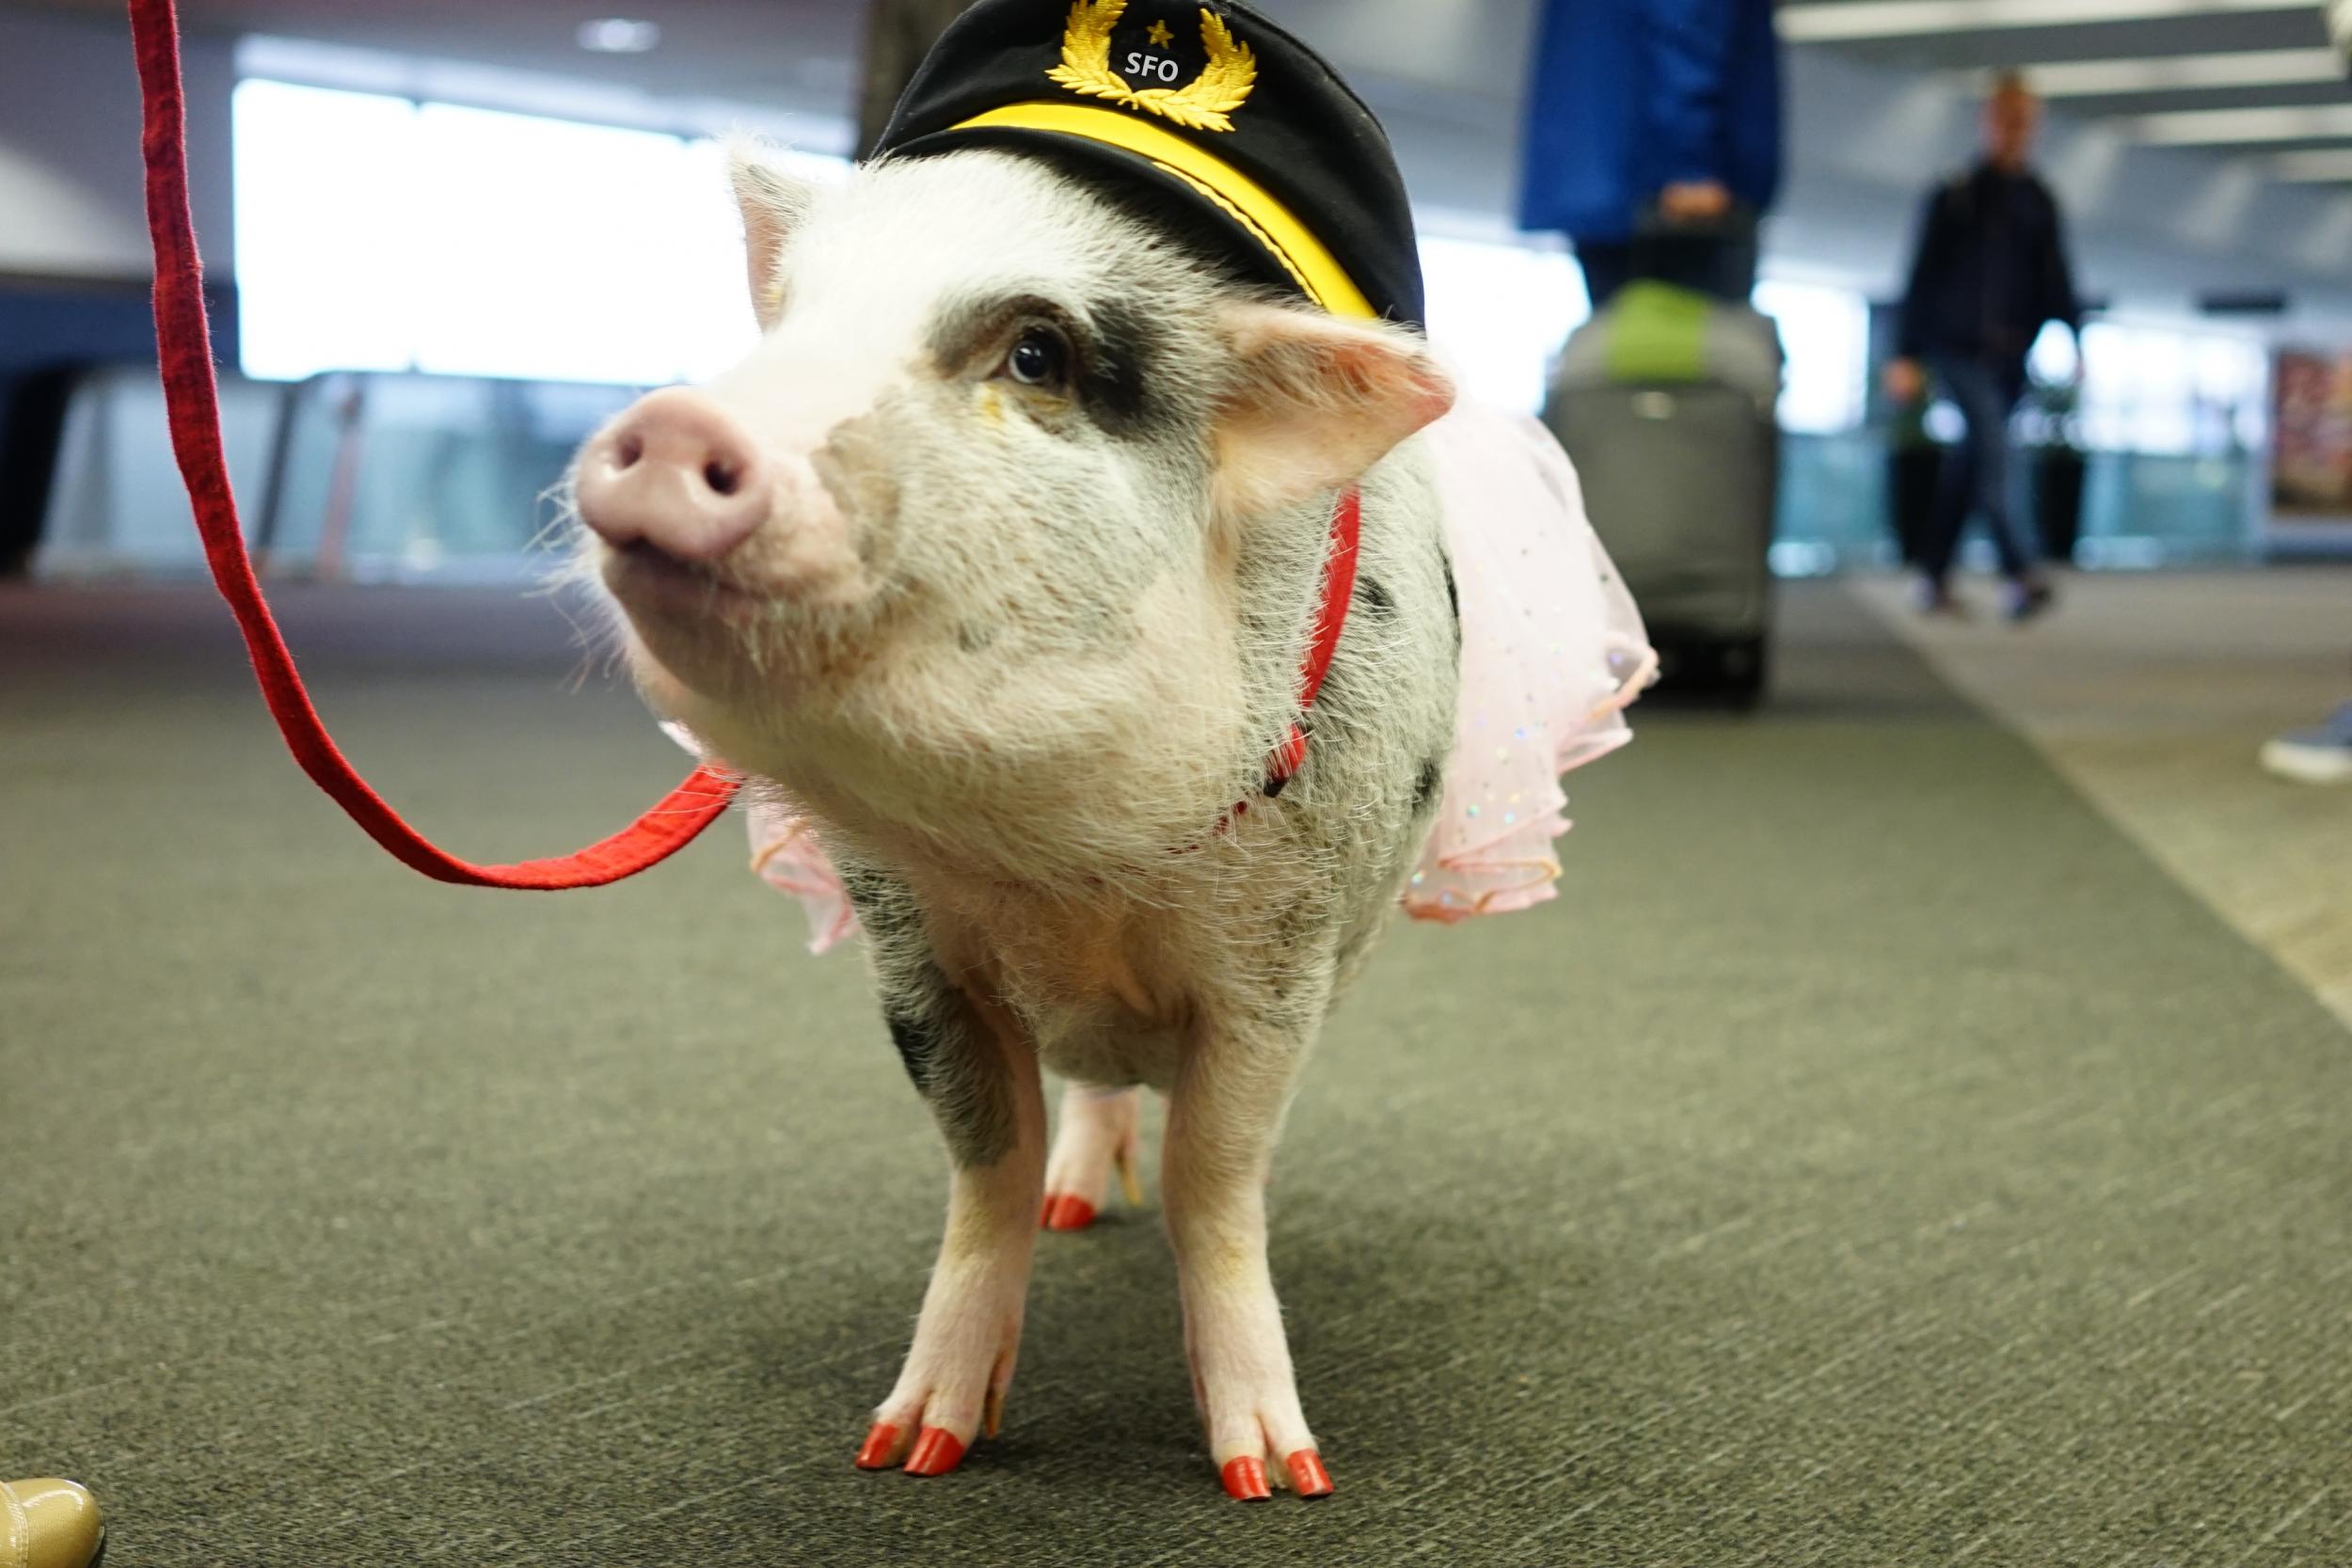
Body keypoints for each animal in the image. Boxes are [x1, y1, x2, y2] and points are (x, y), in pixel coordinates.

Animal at [569, 147, 1458, 1504]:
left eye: (1037, 353)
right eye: (793, 316)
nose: (677, 424)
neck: (1064, 864)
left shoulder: (1281, 964)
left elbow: (1214, 1178)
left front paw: (1275, 1473)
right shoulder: (907, 951)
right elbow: (985, 1162)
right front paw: (912, 1447)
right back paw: (1072, 1208)